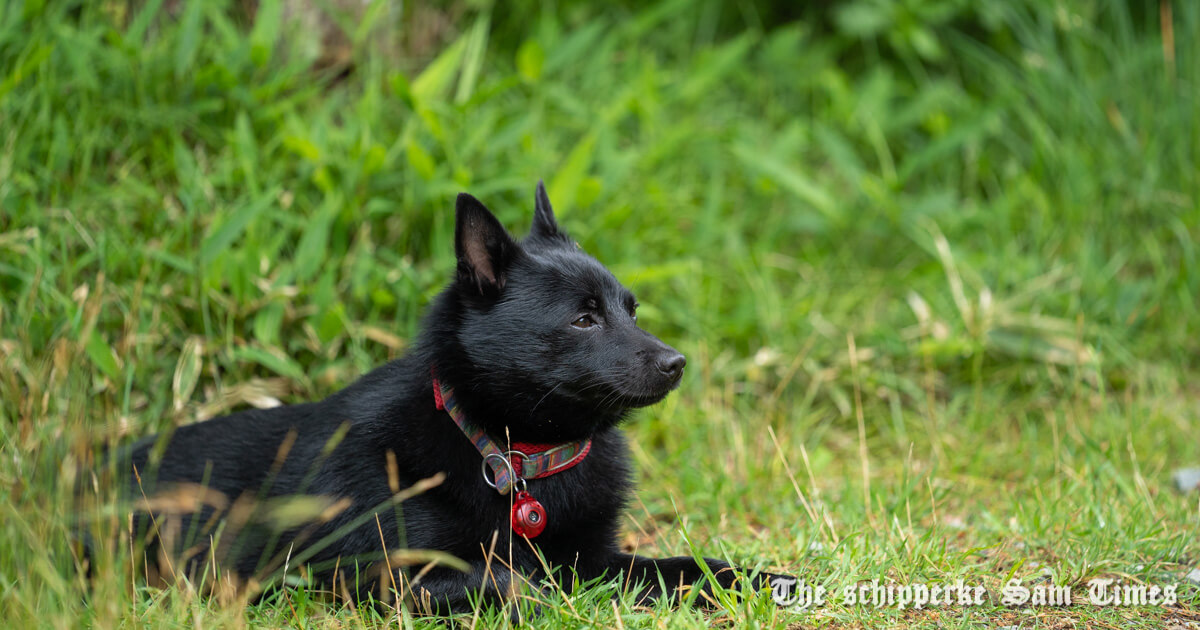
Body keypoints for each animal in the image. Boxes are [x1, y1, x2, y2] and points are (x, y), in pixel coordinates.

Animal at [121, 182, 777, 614]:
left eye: (631, 310)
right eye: (584, 319)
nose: (677, 364)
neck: (517, 455)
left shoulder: (597, 558)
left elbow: (691, 569)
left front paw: (764, 580)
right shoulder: (376, 574)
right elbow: (514, 582)